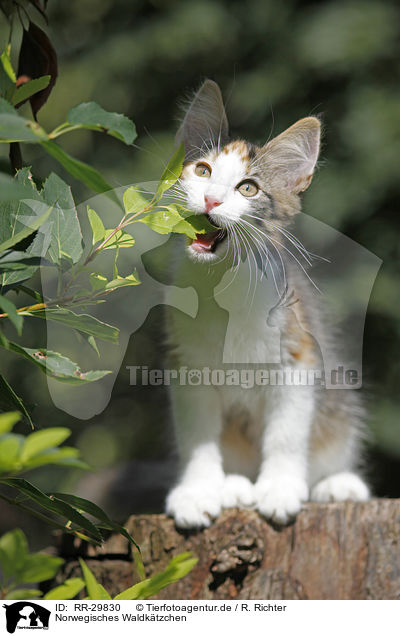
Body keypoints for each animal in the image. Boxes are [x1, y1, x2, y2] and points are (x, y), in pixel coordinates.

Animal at [163, 78, 368, 528]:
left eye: (248, 188)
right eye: (202, 171)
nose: (212, 200)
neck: (222, 283)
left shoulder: (298, 355)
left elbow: (287, 433)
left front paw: (279, 487)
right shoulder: (188, 364)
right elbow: (197, 434)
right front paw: (198, 490)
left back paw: (336, 484)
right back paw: (234, 486)